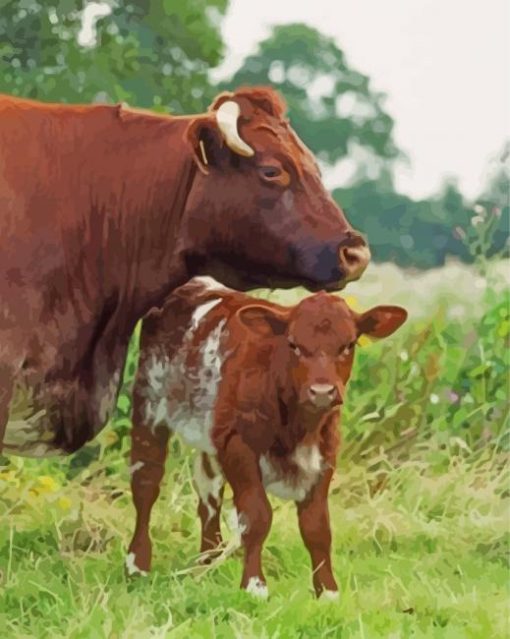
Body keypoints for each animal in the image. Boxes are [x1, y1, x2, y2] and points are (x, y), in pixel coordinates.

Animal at [127, 278, 406, 596]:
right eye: (293, 344)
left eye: (348, 345)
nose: (322, 392)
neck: (300, 428)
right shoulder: (239, 447)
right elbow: (256, 517)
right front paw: (254, 585)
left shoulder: (325, 454)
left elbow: (317, 526)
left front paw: (327, 591)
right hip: (149, 407)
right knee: (146, 483)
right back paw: (137, 565)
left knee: (208, 495)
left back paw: (207, 562)